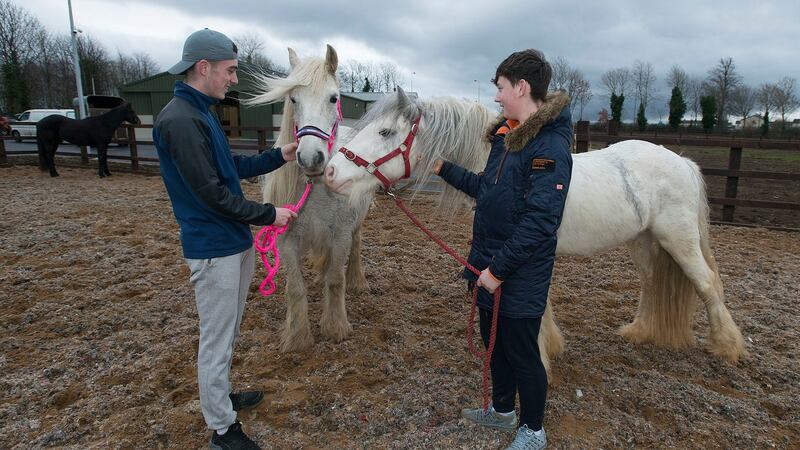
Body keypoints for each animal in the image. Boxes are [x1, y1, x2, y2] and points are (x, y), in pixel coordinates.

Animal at [244, 46, 368, 356]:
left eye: (334, 97)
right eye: (293, 99)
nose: (311, 158)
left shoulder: (341, 235)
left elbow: (336, 280)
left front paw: (335, 327)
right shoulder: (286, 237)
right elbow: (295, 288)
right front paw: (298, 337)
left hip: (357, 223)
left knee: (356, 247)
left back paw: (357, 280)